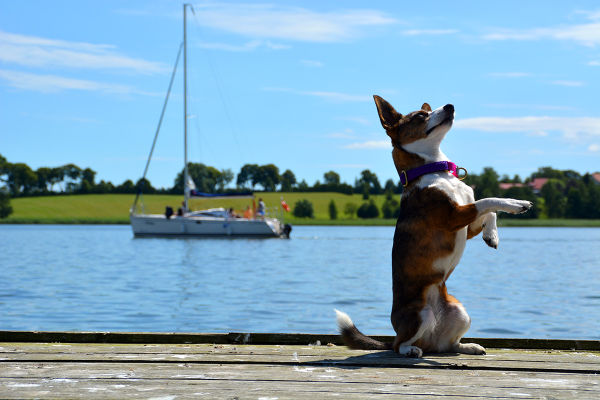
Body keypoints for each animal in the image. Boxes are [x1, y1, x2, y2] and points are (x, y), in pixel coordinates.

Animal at [336, 96, 532, 356]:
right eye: (420, 116)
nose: (449, 106)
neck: (434, 171)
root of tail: (428, 339)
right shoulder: (453, 217)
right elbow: (489, 201)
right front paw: (516, 203)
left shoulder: (467, 225)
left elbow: (489, 212)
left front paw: (492, 236)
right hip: (420, 314)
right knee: (399, 345)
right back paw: (410, 350)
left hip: (460, 313)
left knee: (449, 345)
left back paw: (469, 346)